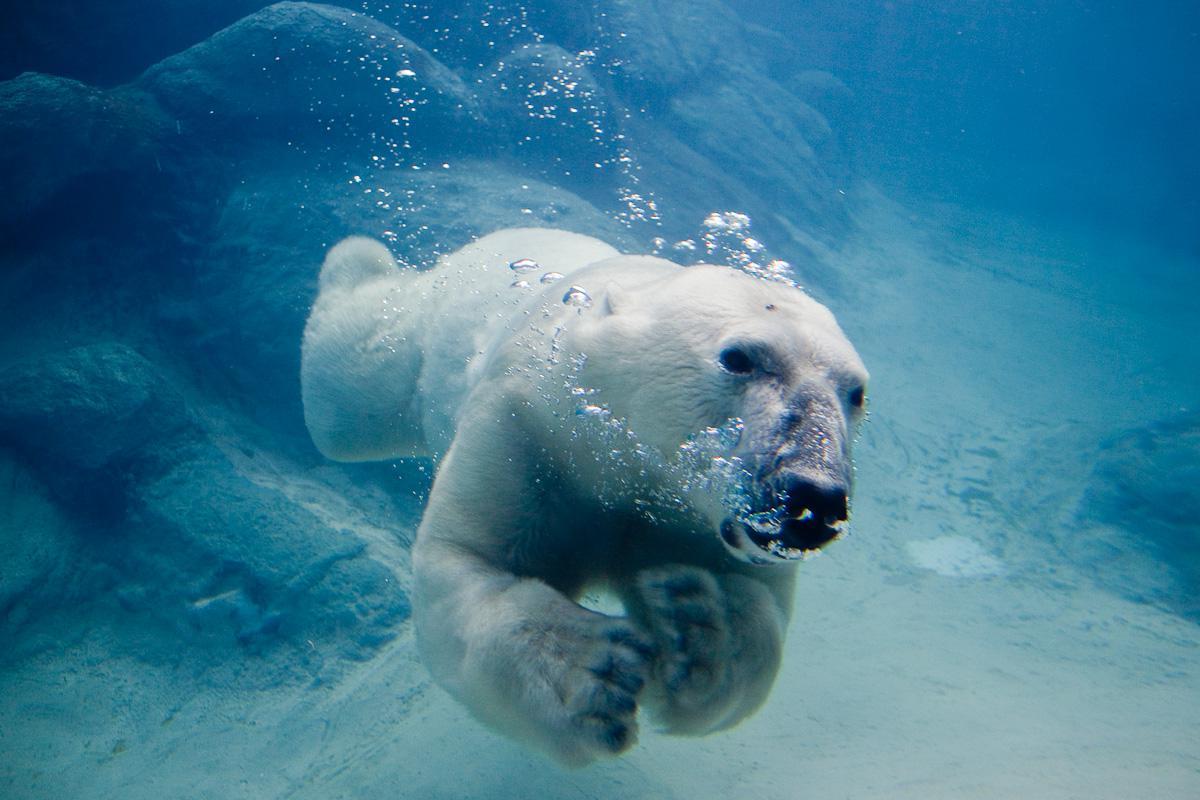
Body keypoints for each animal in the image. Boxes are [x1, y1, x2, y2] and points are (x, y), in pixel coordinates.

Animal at [298, 227, 864, 767]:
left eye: (856, 393)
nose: (814, 500)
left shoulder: (701, 522)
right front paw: (595, 674)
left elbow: (757, 612)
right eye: (738, 358)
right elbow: (469, 562)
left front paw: (697, 621)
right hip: (426, 331)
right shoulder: (528, 429)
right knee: (349, 394)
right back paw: (356, 260)